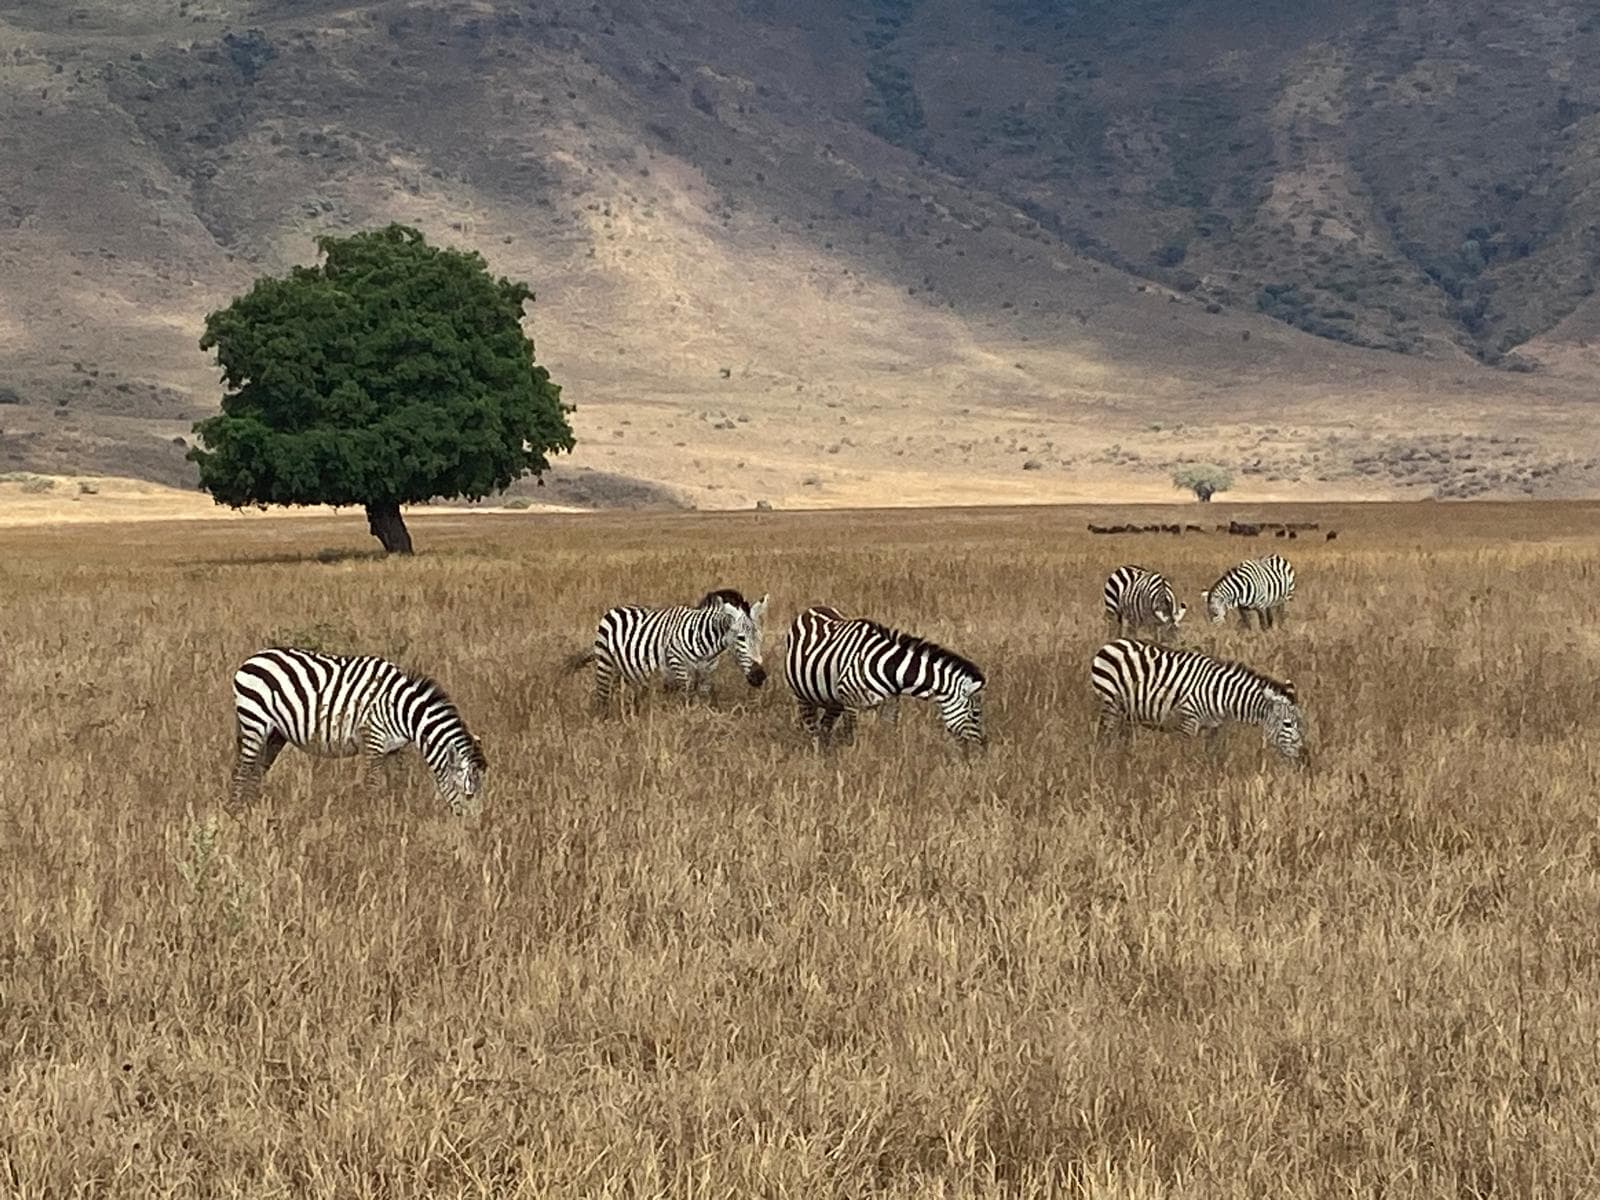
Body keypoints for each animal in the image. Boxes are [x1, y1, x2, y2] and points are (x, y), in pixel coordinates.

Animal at [230, 647, 488, 814]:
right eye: (468, 794)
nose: (473, 827)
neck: (400, 708)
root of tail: (251, 659)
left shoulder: (394, 748)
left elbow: (398, 782)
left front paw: (398, 814)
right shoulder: (372, 738)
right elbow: (373, 784)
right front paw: (370, 823)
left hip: (275, 733)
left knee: (257, 769)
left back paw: (252, 806)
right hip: (254, 721)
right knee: (244, 768)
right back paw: (237, 812)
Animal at [564, 588, 769, 710]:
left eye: (760, 638)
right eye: (741, 638)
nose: (760, 676)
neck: (705, 644)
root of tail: (615, 609)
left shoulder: (707, 672)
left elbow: (703, 698)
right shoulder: (679, 666)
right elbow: (686, 698)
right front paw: (686, 721)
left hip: (626, 670)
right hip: (605, 663)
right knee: (603, 696)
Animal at [783, 605, 987, 747]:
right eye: (975, 713)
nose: (983, 745)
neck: (890, 669)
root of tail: (813, 608)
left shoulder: (890, 703)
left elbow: (890, 734)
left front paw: (888, 759)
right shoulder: (851, 703)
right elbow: (851, 735)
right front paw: (853, 760)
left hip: (833, 700)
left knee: (825, 727)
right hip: (803, 695)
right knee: (813, 729)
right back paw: (818, 755)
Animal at [1090, 637, 1307, 763]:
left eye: (1299, 723)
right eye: (1287, 724)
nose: (1304, 756)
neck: (1221, 695)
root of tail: (1111, 643)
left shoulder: (1213, 727)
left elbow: (1212, 756)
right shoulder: (1188, 722)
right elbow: (1184, 757)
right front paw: (1185, 782)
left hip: (1127, 711)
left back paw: (1125, 758)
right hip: (1110, 702)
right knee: (1104, 735)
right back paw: (1106, 759)